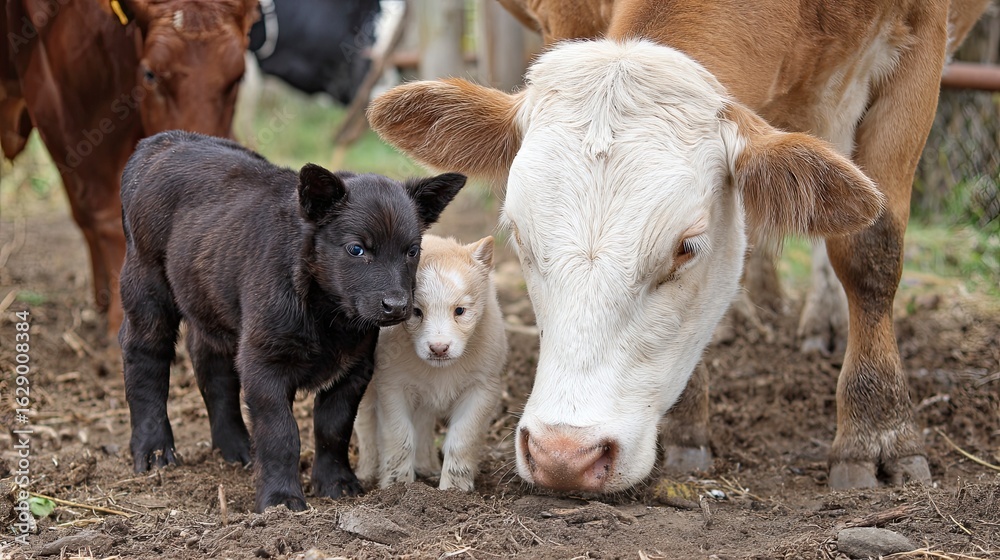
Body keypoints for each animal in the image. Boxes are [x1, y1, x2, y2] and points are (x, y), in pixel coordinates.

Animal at [367, 0, 992, 493]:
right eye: (519, 233)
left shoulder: (920, 42)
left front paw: (876, 431)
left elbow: (869, 248)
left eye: (688, 247)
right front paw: (687, 424)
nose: (563, 457)